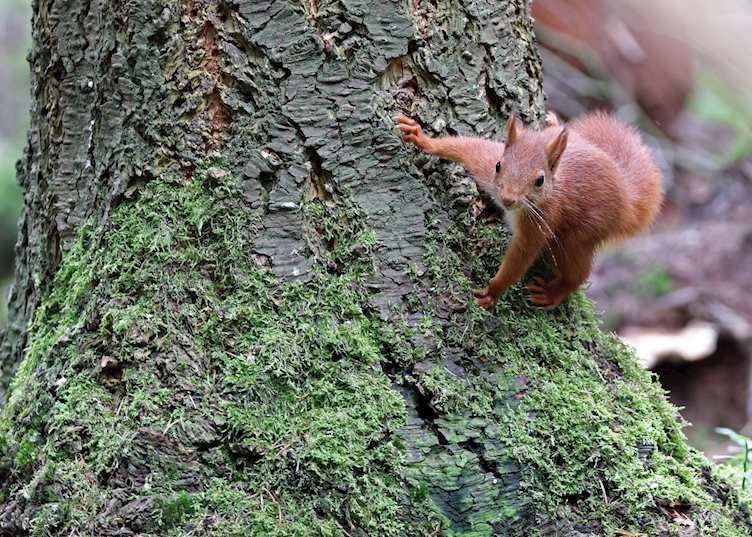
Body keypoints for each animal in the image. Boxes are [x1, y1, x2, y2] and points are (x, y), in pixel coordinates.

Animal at [397, 111, 663, 311]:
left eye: (540, 181)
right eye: (499, 165)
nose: (507, 199)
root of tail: (627, 200)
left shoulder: (540, 221)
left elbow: (521, 256)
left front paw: (493, 291)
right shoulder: (484, 163)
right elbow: (465, 147)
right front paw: (421, 137)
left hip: (578, 236)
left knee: (578, 272)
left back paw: (555, 291)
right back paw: (554, 122)